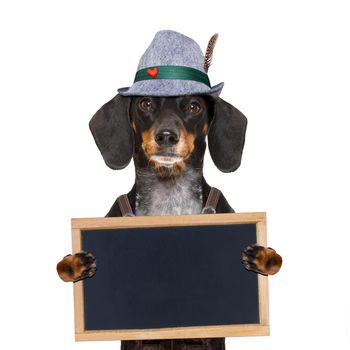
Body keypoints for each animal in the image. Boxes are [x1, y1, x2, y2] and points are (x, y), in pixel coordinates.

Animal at [56, 93, 282, 282]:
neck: (170, 197)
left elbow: (276, 260)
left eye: (194, 106)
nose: (166, 136)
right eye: (145, 103)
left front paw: (265, 257)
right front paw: (72, 264)